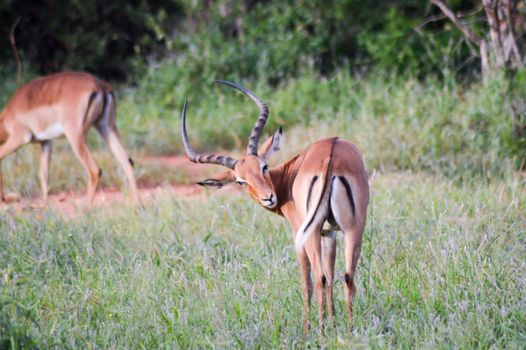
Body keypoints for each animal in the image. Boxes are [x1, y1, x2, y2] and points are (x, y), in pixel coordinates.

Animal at [0, 72, 139, 204]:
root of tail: (100, 86)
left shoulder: (19, 138)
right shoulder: (46, 142)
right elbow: (44, 176)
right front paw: (44, 207)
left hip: (76, 136)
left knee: (95, 170)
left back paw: (85, 209)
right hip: (106, 128)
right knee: (127, 163)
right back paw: (137, 205)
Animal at [182, 80, 372, 334]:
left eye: (264, 166)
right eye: (241, 181)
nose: (268, 198)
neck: (289, 176)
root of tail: (331, 155)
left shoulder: (299, 233)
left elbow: (308, 282)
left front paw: (310, 330)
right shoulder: (330, 232)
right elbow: (332, 274)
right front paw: (333, 323)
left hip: (310, 233)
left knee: (317, 278)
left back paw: (319, 334)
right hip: (354, 228)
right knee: (348, 277)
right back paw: (349, 332)